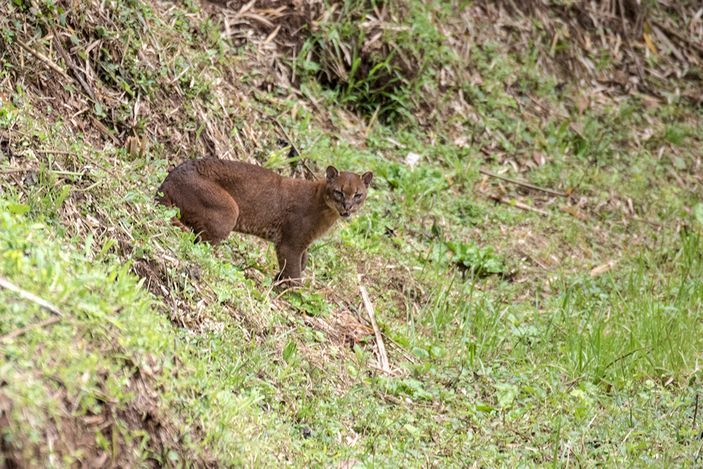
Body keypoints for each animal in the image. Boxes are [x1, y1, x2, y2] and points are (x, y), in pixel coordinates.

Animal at [155, 160, 374, 286]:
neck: (326, 209)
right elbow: (295, 273)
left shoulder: (300, 244)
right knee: (201, 244)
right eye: (339, 192)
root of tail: (167, 181)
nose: (347, 207)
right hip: (230, 210)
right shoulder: (289, 244)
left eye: (358, 195)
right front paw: (292, 295)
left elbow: (302, 263)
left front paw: (278, 280)